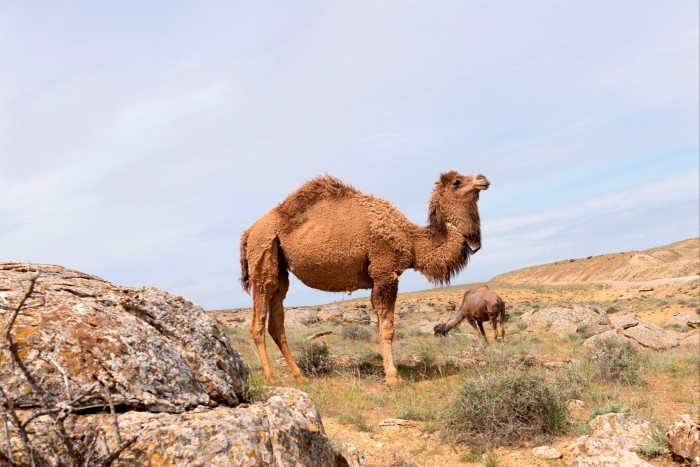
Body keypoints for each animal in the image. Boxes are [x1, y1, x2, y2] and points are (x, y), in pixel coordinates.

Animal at [238, 171, 490, 384]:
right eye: (457, 181)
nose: (483, 178)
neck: (411, 240)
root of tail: (248, 233)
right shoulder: (385, 272)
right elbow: (388, 328)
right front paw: (393, 377)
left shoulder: (377, 280)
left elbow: (380, 325)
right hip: (263, 257)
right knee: (257, 321)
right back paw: (271, 377)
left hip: (280, 267)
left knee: (276, 320)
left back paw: (299, 376)